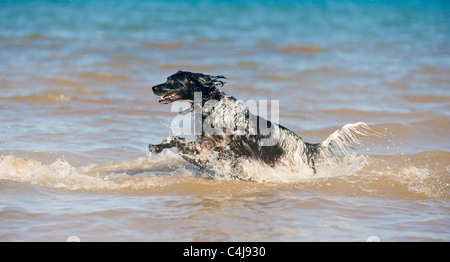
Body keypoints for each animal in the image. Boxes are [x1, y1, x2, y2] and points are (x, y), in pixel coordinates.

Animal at [149, 70, 370, 175]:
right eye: (167, 79)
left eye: (173, 81)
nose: (153, 87)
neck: (211, 106)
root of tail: (307, 147)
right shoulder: (203, 147)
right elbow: (174, 140)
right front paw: (156, 147)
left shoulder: (238, 141)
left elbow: (224, 152)